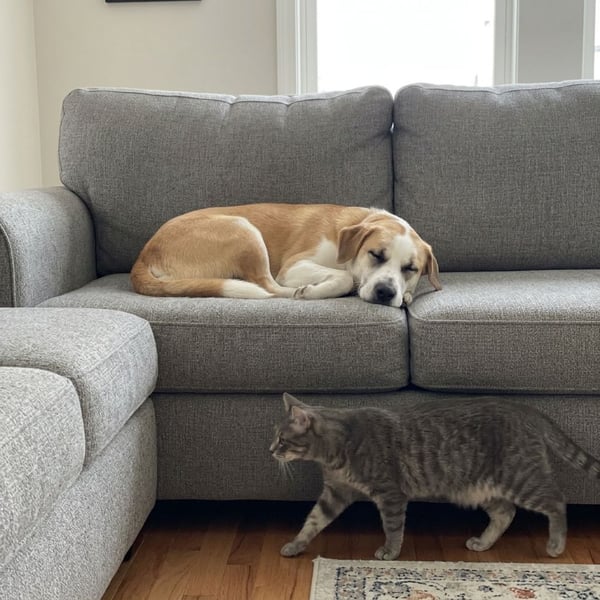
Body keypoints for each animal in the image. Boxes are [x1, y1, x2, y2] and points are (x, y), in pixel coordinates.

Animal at [130, 203, 442, 307]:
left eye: (411, 269)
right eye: (375, 254)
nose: (386, 292)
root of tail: (145, 254)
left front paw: (407, 294)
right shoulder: (294, 267)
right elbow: (343, 278)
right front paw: (316, 289)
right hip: (244, 229)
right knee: (268, 287)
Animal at [270, 392, 600, 560]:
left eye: (282, 440)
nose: (271, 449)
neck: (337, 451)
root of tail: (525, 408)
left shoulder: (390, 493)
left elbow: (393, 527)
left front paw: (390, 551)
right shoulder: (335, 493)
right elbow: (312, 522)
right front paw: (296, 544)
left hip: (521, 477)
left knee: (557, 501)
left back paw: (556, 544)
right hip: (481, 487)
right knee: (506, 513)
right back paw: (483, 542)